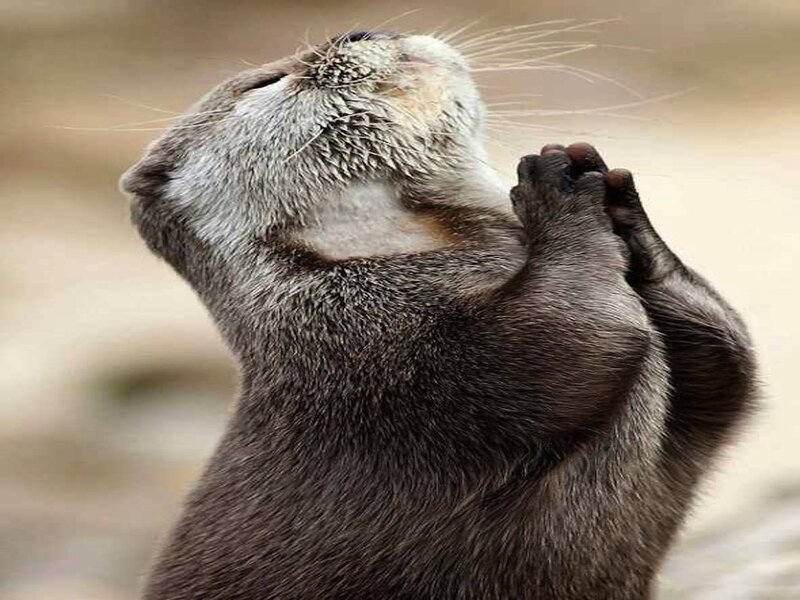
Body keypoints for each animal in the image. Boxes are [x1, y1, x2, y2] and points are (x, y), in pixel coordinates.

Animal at [121, 30, 756, 599]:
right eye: (267, 81)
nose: (359, 29)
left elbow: (729, 366)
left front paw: (624, 210)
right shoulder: (383, 350)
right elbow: (579, 330)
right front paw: (555, 190)